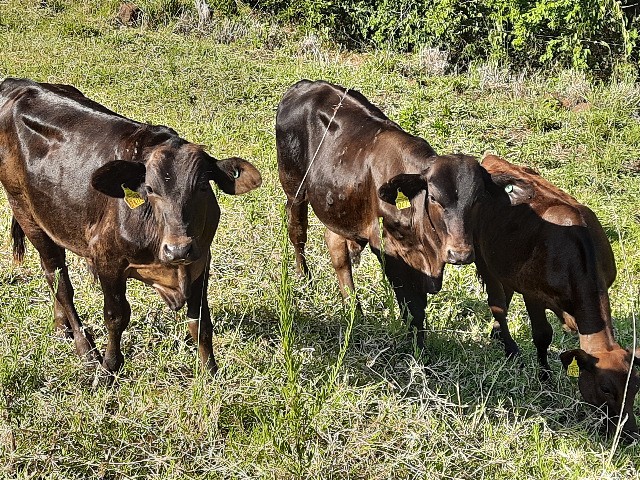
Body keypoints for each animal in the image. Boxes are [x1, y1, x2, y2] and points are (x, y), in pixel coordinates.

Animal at [0, 78, 262, 376]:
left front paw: (210, 372)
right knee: (59, 280)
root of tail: (18, 84)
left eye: (203, 186)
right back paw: (86, 351)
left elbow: (200, 322)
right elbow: (116, 317)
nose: (178, 249)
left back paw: (61, 326)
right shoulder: (106, 260)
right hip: (25, 212)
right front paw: (108, 368)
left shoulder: (200, 259)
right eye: (150, 189)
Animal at [276, 80, 490, 346]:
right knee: (298, 233)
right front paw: (416, 348)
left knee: (335, 245)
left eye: (478, 199)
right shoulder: (390, 250)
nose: (460, 254)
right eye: (434, 198)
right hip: (294, 188)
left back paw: (354, 310)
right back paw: (304, 278)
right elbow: (412, 305)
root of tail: (304, 85)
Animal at [476, 155, 640, 436]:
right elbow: (542, 336)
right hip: (483, 257)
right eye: (605, 389)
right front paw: (545, 377)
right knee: (497, 304)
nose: (628, 433)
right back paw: (509, 347)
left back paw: (497, 333)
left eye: (637, 388)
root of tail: (491, 158)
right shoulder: (533, 294)